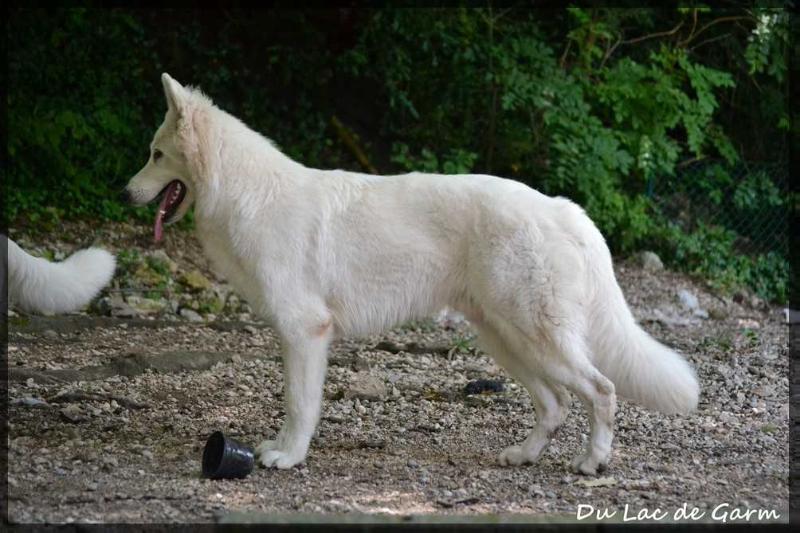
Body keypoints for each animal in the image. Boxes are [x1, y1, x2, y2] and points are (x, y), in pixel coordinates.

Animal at [122, 74, 696, 474]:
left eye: (155, 154)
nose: (124, 193)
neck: (247, 194)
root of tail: (563, 208)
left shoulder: (305, 333)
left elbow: (299, 404)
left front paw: (289, 457)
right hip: (507, 340)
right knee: (555, 404)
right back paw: (523, 455)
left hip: (536, 338)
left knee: (601, 390)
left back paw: (592, 462)